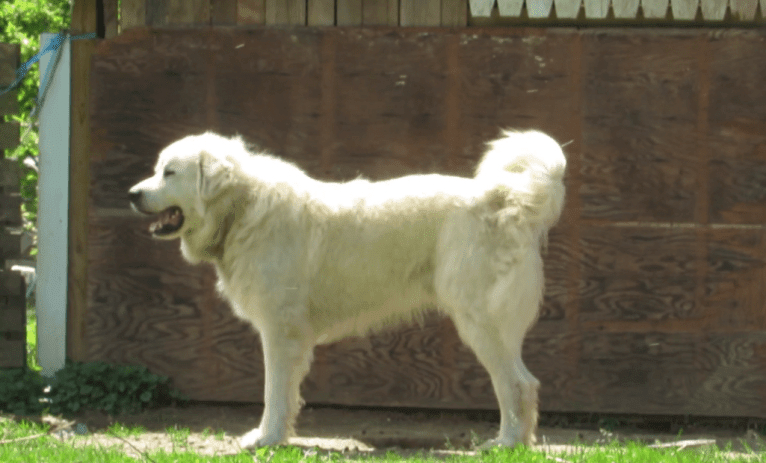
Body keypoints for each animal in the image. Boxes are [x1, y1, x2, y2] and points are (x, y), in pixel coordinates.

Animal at [129, 130, 568, 450]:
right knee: (525, 384)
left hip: (479, 322)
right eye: (157, 169)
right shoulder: (290, 336)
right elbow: (288, 395)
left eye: (169, 172)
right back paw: (519, 442)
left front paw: (265, 438)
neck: (242, 209)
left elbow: (273, 392)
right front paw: (281, 437)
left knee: (516, 385)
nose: (132, 194)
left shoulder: (279, 332)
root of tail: (505, 196)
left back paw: (505, 444)